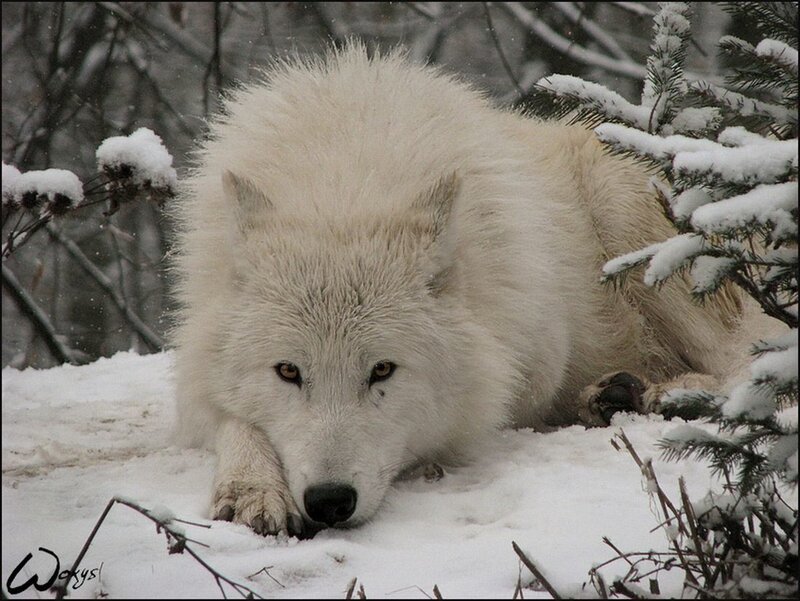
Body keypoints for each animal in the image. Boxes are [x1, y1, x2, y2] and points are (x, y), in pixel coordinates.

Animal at [172, 45, 777, 536]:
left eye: (383, 370)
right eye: (288, 372)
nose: (329, 501)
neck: (344, 188)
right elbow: (232, 420)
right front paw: (250, 488)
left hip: (635, 230)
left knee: (740, 367)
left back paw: (668, 393)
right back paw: (615, 394)